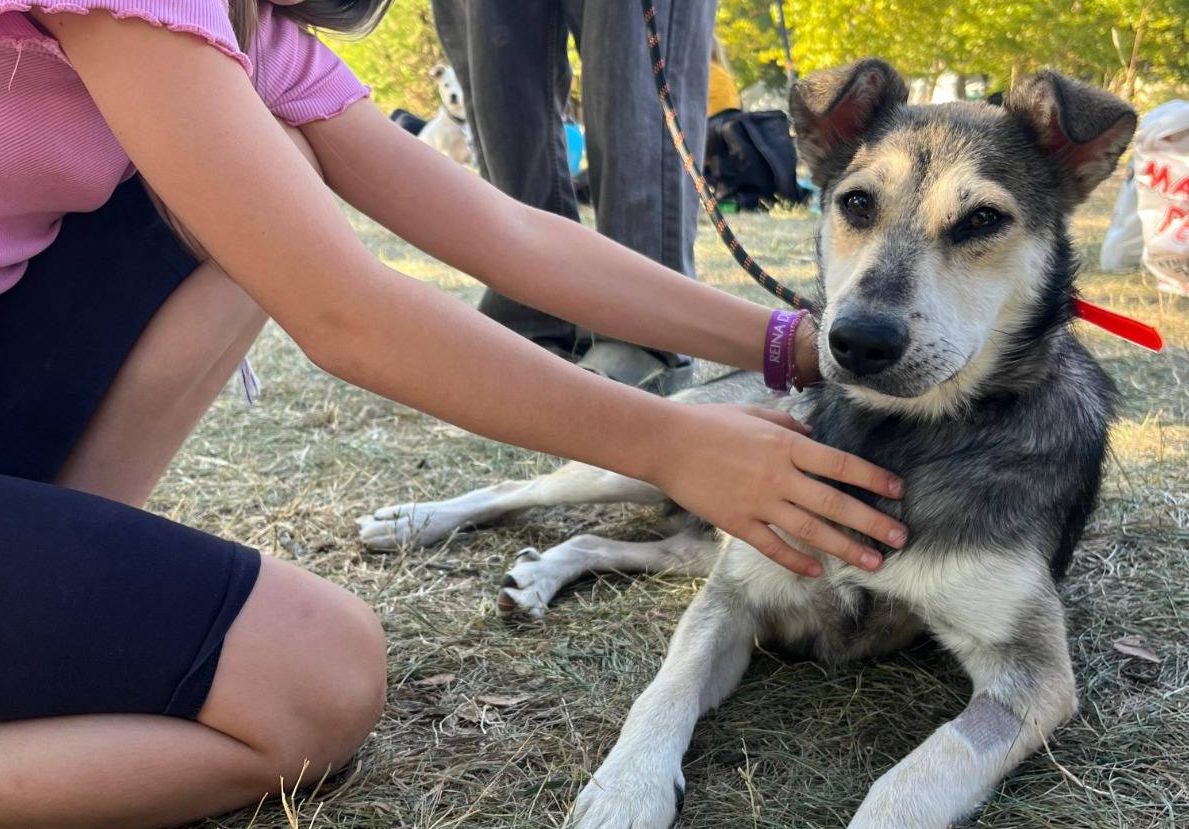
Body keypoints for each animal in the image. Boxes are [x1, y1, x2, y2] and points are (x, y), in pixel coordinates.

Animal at [356, 59, 1136, 827]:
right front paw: (626, 791)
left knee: (614, 543)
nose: (856, 341)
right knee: (522, 487)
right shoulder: (735, 598)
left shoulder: (1029, 674)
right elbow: (665, 689)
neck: (892, 435)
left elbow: (916, 775)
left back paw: (539, 573)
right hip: (658, 458)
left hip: (714, 527)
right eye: (856, 204)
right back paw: (415, 522)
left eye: (982, 220)